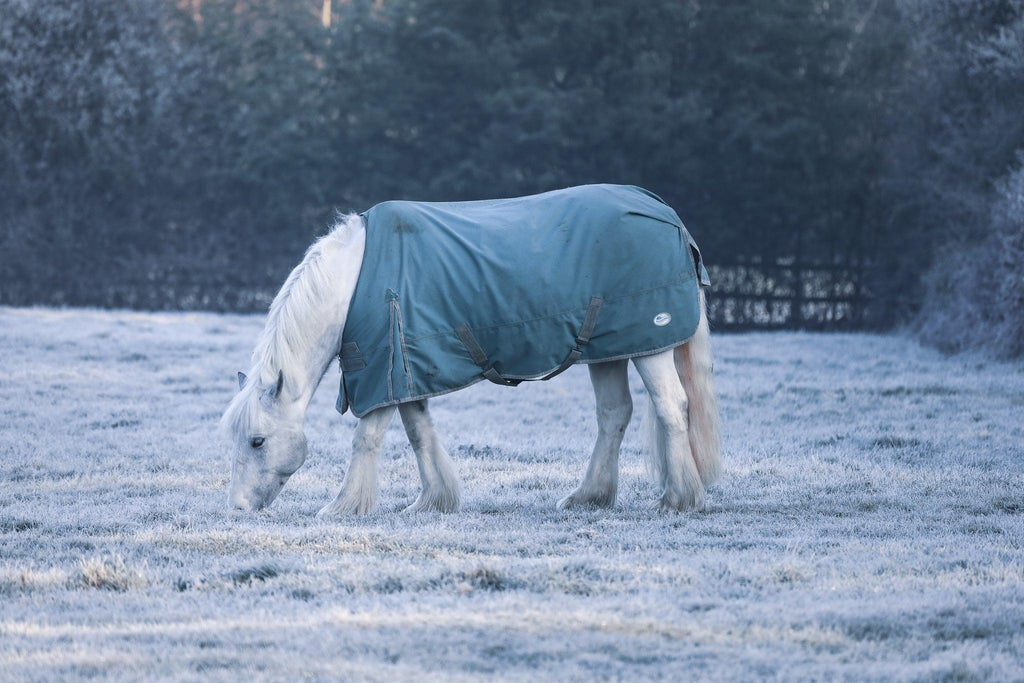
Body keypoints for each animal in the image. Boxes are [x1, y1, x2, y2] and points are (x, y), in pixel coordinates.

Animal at [220, 185, 720, 515]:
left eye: (257, 440)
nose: (239, 508)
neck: (353, 282)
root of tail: (664, 211)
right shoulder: (406, 371)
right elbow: (419, 433)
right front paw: (432, 501)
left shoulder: (382, 372)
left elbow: (367, 438)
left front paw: (343, 507)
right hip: (609, 350)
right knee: (614, 414)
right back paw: (589, 497)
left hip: (649, 347)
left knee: (672, 407)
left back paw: (678, 500)